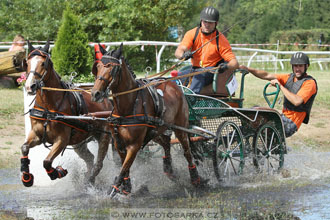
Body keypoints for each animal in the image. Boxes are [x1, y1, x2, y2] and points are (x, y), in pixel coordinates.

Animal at [21, 40, 113, 186]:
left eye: (43, 63)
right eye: (27, 62)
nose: (30, 86)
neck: (49, 108)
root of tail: (107, 101)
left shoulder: (61, 140)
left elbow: (47, 161)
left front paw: (57, 172)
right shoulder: (36, 134)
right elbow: (24, 148)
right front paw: (26, 177)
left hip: (104, 136)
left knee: (98, 164)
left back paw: (90, 182)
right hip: (80, 142)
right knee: (90, 159)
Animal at [90, 43, 206, 199]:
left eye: (111, 67)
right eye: (97, 67)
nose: (95, 93)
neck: (129, 105)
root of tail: (173, 85)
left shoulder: (134, 145)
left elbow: (124, 167)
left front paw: (113, 190)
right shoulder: (119, 143)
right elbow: (125, 167)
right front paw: (126, 187)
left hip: (180, 128)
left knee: (187, 152)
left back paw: (195, 179)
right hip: (156, 130)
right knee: (166, 143)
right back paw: (169, 169)